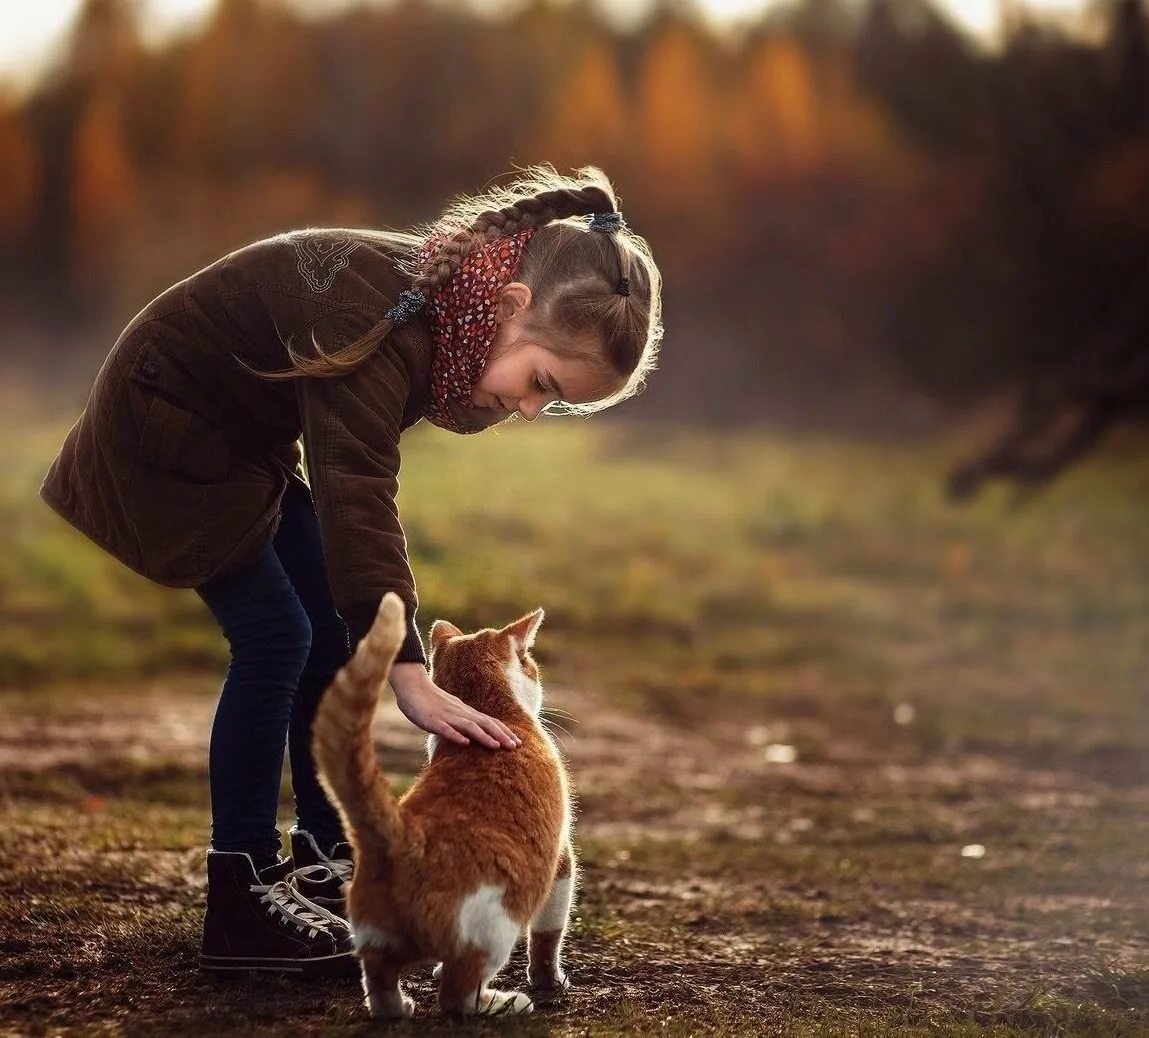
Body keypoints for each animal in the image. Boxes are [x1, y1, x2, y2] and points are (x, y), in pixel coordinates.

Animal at [312, 597, 572, 1020]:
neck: (492, 708)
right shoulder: (561, 857)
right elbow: (548, 936)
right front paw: (549, 979)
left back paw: (399, 1006)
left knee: (379, 981)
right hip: (495, 929)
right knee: (456, 995)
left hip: (373, 939)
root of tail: (404, 833)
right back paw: (502, 1002)